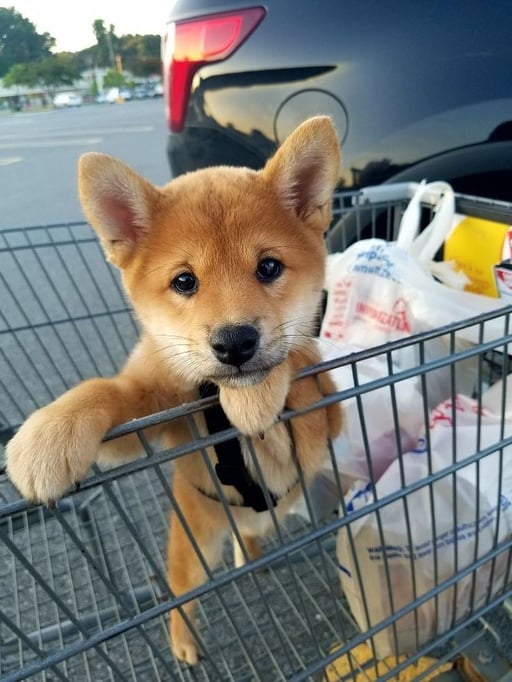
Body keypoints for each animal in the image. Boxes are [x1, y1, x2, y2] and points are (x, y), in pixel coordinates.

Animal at [5, 114, 344, 660]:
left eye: (269, 267)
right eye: (185, 281)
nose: (235, 342)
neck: (212, 393)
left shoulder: (328, 415)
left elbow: (295, 359)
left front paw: (256, 395)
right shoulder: (150, 407)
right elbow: (105, 391)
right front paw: (49, 436)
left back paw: (253, 553)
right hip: (192, 546)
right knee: (182, 598)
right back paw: (185, 641)